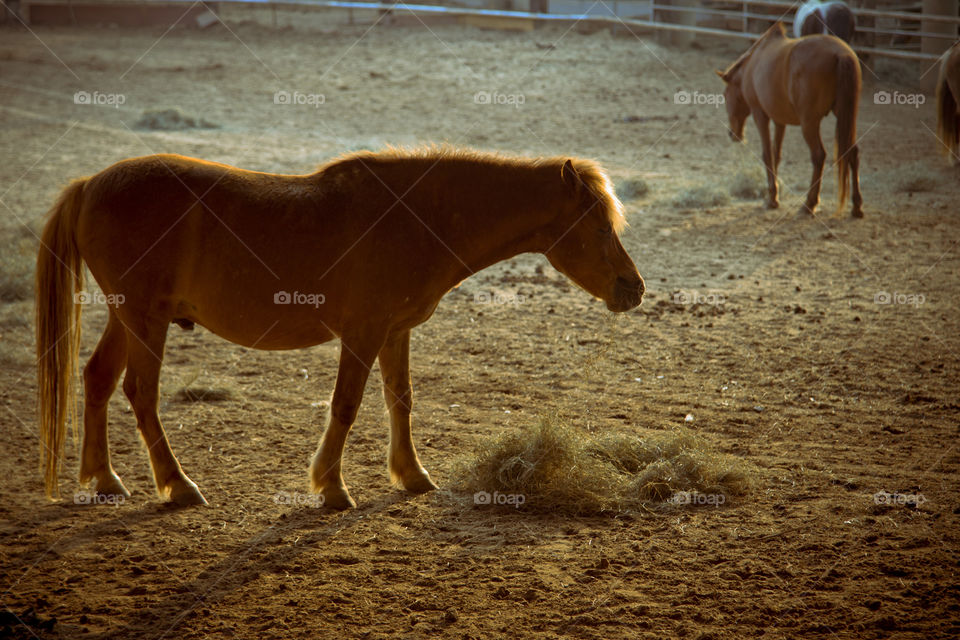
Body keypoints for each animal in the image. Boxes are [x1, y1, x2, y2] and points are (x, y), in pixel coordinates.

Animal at [35, 145, 644, 510]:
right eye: (596, 224)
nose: (633, 288)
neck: (413, 216)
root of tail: (90, 184)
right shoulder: (363, 333)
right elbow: (346, 406)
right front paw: (331, 486)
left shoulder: (395, 333)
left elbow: (400, 399)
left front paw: (412, 475)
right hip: (145, 319)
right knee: (139, 391)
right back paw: (179, 486)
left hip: (129, 316)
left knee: (97, 379)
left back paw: (105, 480)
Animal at [720, 21, 864, 218]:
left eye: (725, 95)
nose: (732, 134)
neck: (752, 65)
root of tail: (841, 54)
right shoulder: (780, 121)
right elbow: (776, 154)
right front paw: (773, 196)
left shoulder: (760, 115)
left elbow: (767, 154)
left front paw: (772, 199)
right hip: (846, 117)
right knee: (852, 153)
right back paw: (856, 206)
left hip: (809, 123)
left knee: (818, 155)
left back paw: (809, 204)